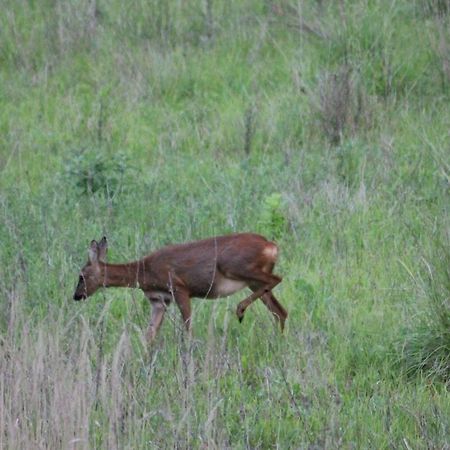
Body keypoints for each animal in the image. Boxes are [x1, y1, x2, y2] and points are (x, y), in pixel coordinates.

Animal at [72, 232, 286, 342]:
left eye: (81, 276)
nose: (76, 296)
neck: (145, 272)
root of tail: (272, 246)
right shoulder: (159, 300)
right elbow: (149, 334)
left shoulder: (179, 288)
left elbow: (188, 329)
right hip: (251, 281)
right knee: (280, 310)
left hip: (236, 266)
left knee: (277, 278)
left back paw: (240, 310)